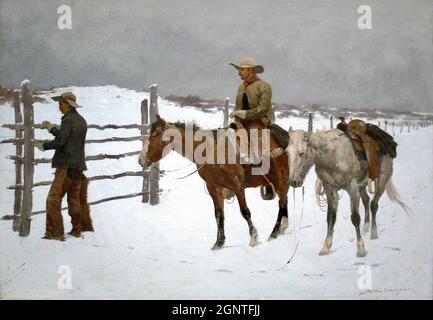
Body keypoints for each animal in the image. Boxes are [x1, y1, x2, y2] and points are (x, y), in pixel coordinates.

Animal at [138, 115, 290, 250]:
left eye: (154, 135)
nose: (141, 160)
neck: (211, 151)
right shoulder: (214, 188)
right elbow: (219, 215)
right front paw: (219, 243)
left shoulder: (237, 186)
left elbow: (245, 211)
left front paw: (253, 238)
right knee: (284, 201)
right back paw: (282, 228)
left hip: (280, 179)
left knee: (282, 202)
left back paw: (274, 233)